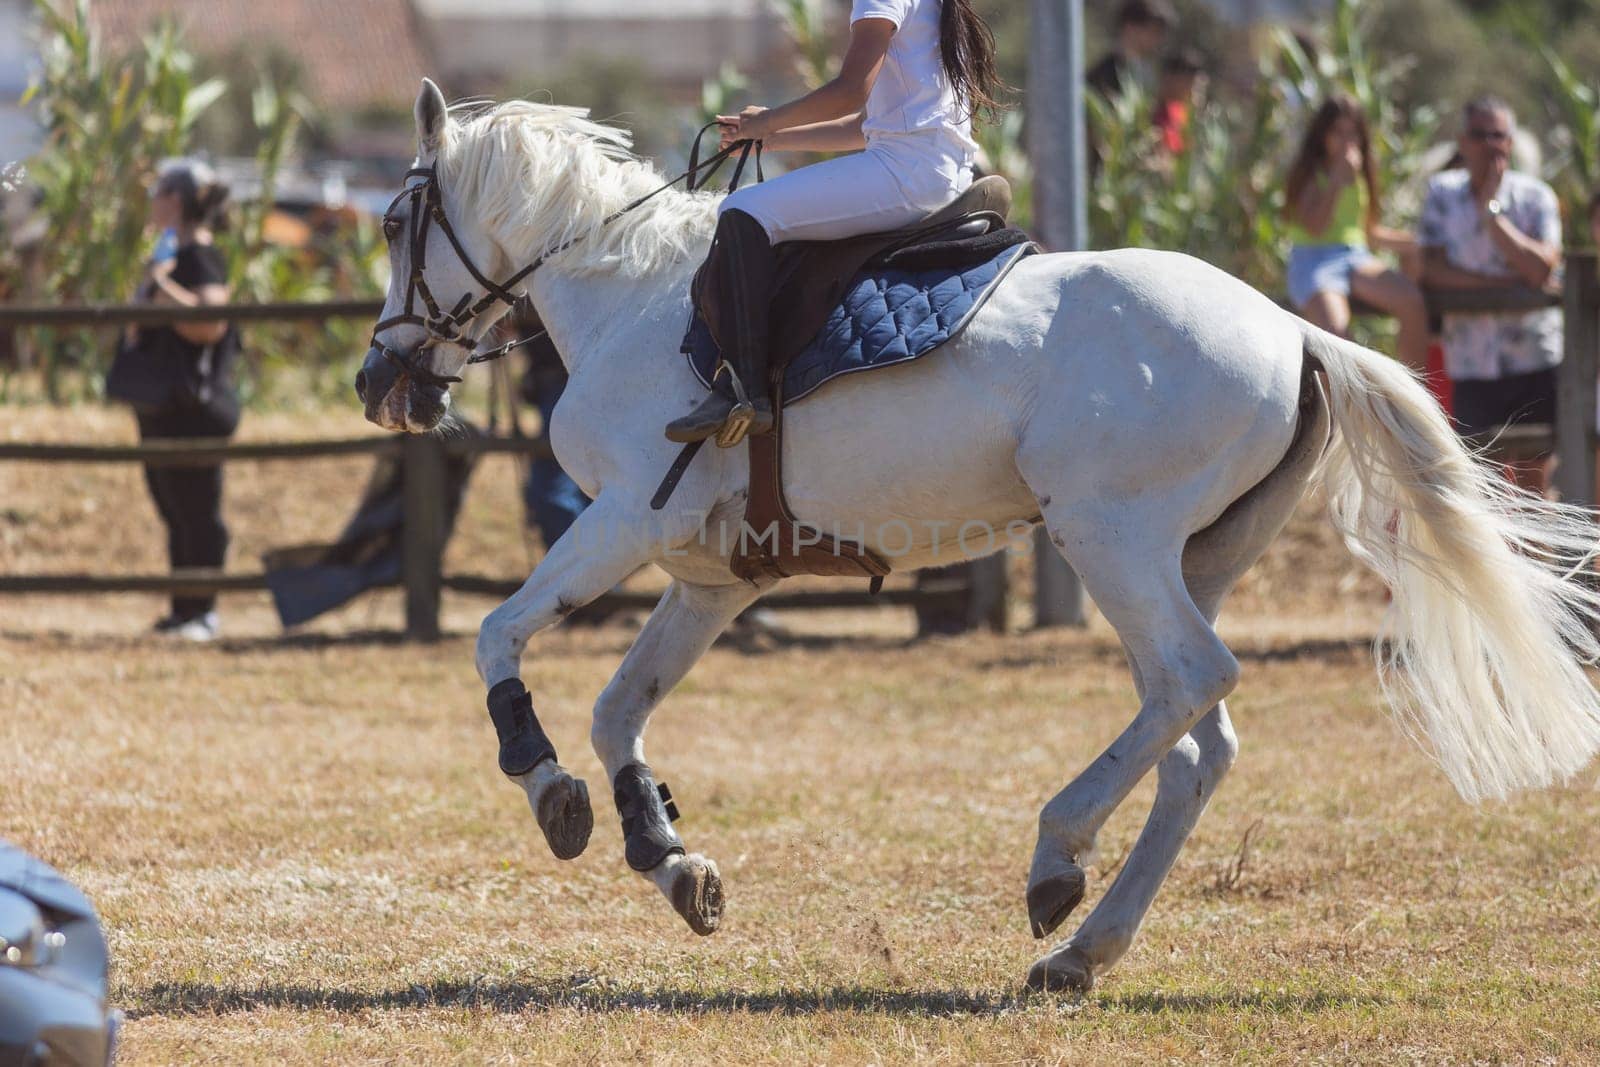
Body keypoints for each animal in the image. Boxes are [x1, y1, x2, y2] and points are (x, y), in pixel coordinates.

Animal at [356, 81, 1600, 991]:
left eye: (396, 221)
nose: (378, 381)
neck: (631, 293)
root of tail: (1293, 329)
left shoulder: (624, 518)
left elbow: (499, 638)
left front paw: (549, 789)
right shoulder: (711, 579)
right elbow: (621, 706)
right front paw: (669, 856)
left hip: (1109, 537)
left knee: (1193, 682)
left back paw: (1056, 856)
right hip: (1184, 559)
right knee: (1194, 740)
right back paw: (1081, 948)